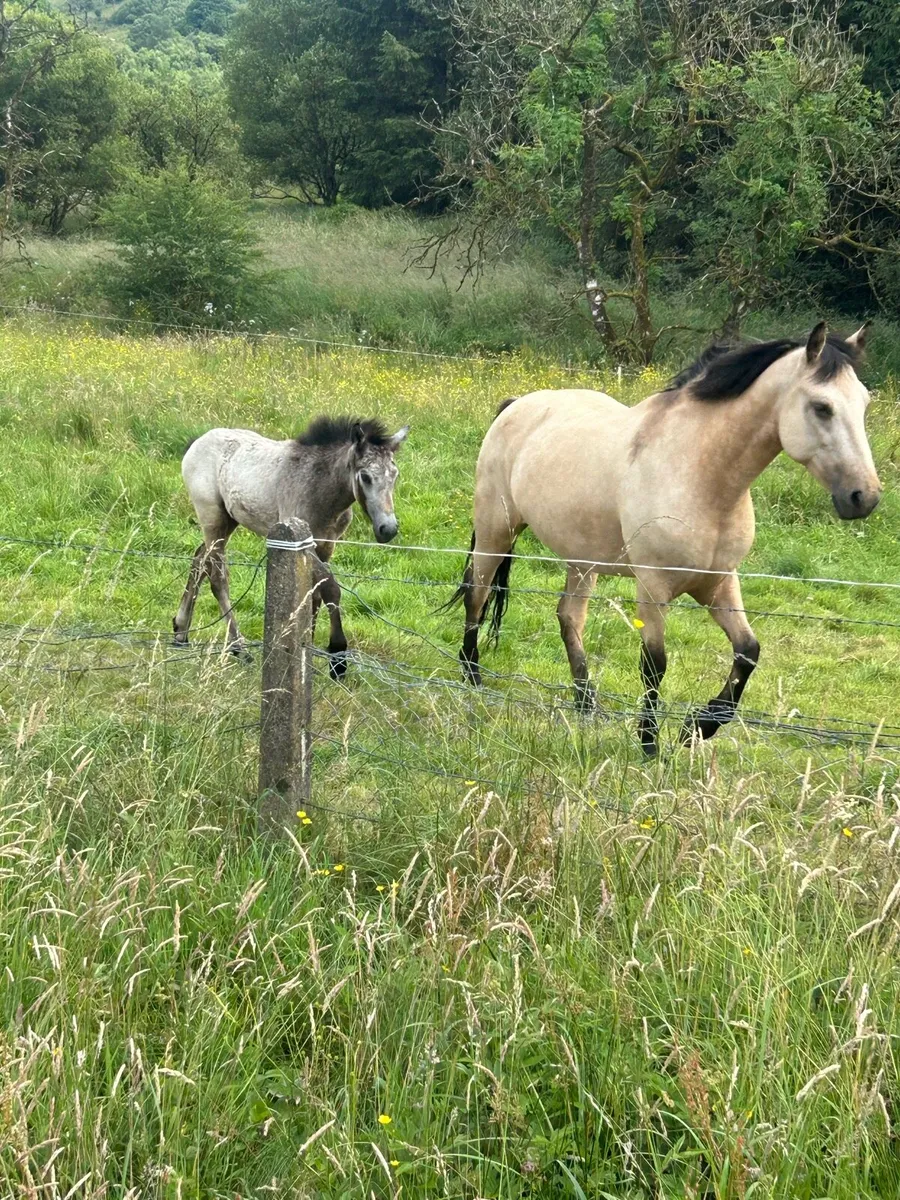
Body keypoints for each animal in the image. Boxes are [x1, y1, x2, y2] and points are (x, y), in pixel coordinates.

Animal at [173, 415, 409, 673]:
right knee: (217, 576)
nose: (388, 529)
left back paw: (181, 632)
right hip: (213, 519)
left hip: (228, 521)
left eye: (395, 475)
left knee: (200, 560)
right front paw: (337, 657)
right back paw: (239, 648)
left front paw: (309, 652)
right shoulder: (303, 543)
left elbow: (314, 594)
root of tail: (197, 442)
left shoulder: (326, 545)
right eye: (365, 476)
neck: (320, 487)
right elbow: (330, 588)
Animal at [447, 322, 881, 756]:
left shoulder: (719, 583)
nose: (865, 497)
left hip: (582, 558)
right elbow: (654, 665)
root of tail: (517, 405)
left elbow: (748, 652)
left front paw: (699, 727)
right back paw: (472, 677)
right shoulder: (653, 588)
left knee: (569, 617)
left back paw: (587, 703)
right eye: (822, 407)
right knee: (476, 594)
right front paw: (649, 743)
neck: (700, 475)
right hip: (496, 530)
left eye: (863, 404)